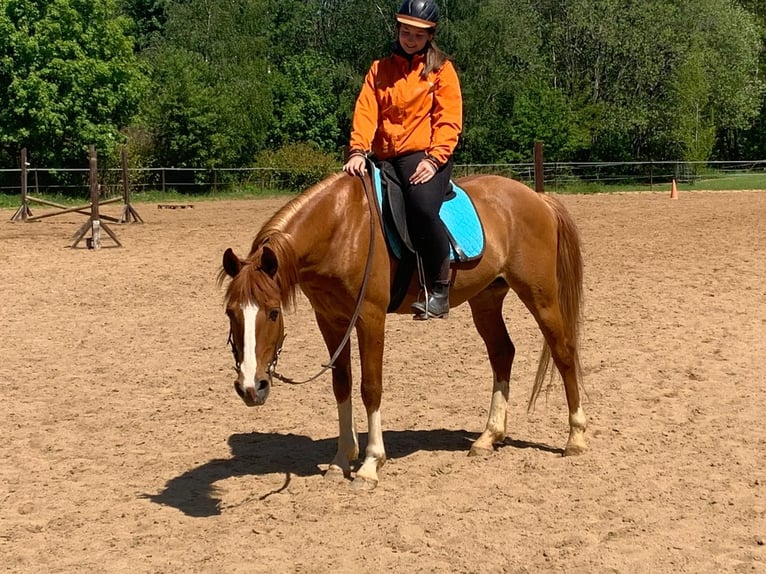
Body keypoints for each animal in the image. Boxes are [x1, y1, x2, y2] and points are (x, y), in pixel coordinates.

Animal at [218, 171, 586, 489]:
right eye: (230, 312)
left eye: (273, 313)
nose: (251, 387)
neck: (341, 230)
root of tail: (538, 198)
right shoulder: (331, 319)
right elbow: (341, 386)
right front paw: (341, 459)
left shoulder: (369, 316)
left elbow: (371, 388)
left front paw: (370, 464)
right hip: (487, 298)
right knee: (502, 353)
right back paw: (488, 437)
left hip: (540, 295)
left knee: (563, 351)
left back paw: (576, 438)